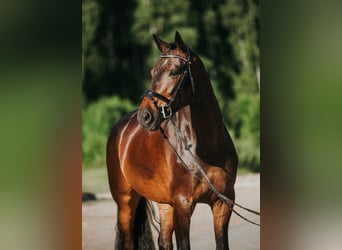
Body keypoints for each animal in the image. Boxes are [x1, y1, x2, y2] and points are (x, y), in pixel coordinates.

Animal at [107, 32, 238, 249]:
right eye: (152, 72)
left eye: (174, 72)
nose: (145, 116)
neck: (205, 149)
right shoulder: (182, 205)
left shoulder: (223, 203)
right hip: (125, 202)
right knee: (129, 241)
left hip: (164, 204)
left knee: (164, 240)